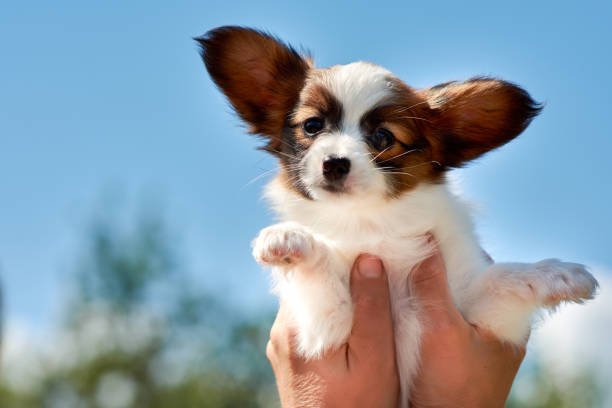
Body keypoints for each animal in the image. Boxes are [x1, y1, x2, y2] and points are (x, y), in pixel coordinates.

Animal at [196, 27, 596, 406]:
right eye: (312, 126)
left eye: (383, 137)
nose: (334, 163)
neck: (371, 222)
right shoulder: (329, 326)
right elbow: (323, 262)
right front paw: (288, 237)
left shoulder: (475, 311)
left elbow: (506, 278)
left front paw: (558, 273)